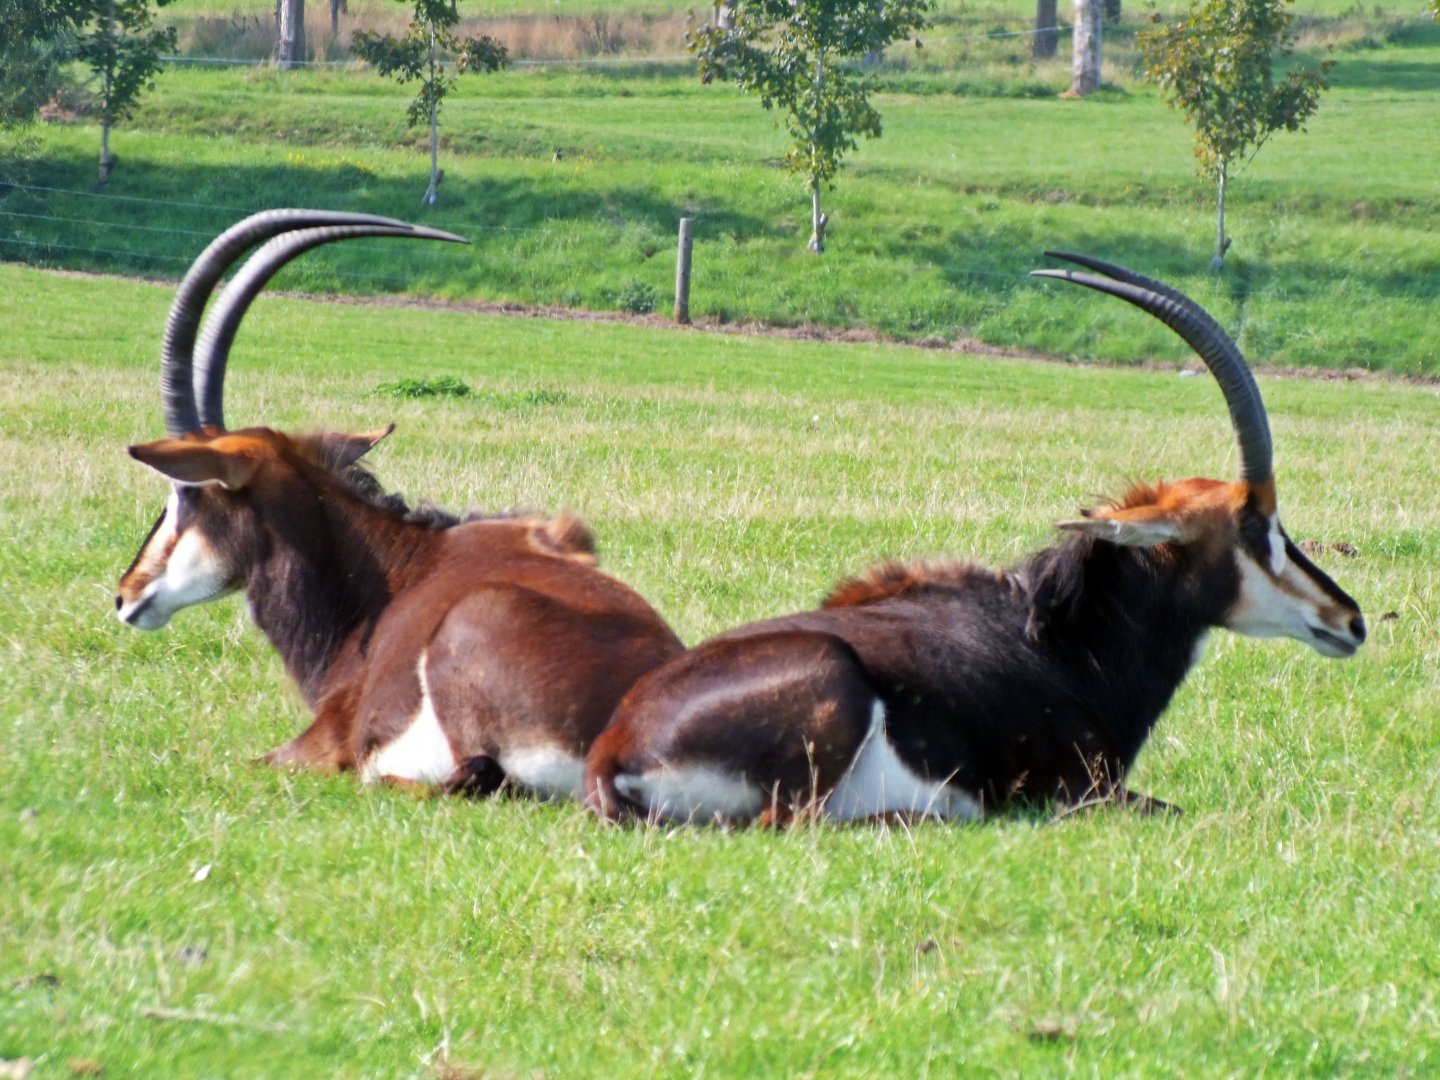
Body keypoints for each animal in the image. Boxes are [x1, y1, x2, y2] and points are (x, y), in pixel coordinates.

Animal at [584, 253, 1366, 824]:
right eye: (1254, 525)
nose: (1350, 619)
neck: (1060, 642)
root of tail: (612, 751)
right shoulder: (1082, 791)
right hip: (830, 689)